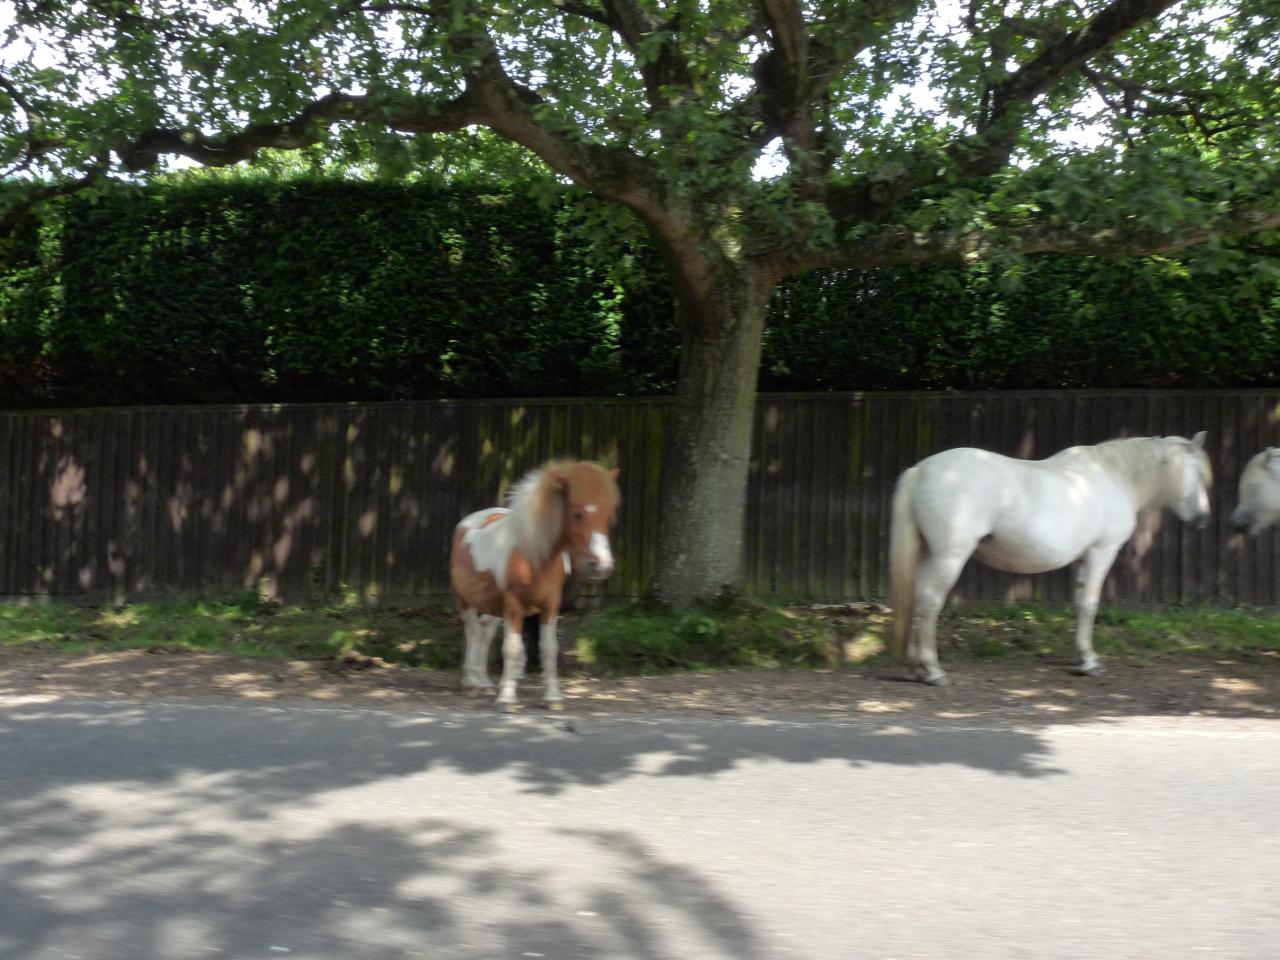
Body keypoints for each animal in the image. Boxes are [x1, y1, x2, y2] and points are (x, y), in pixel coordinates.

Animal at [450, 463, 619, 711]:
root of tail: (467, 522)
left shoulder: (550, 607)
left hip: (494, 608)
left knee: (485, 632)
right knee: (473, 631)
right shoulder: (514, 606)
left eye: (609, 515)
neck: (532, 557)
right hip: (466, 601)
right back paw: (471, 682)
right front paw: (507, 699)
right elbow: (512, 648)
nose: (602, 566)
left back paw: (483, 682)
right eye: (577, 513)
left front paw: (553, 697)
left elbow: (548, 649)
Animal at [890, 432, 1208, 686]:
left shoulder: (1083, 560)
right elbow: (1090, 606)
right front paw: (1090, 663)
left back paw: (913, 667)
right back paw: (933, 671)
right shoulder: (1101, 553)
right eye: (1197, 474)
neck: (1113, 477)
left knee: (918, 600)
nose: (1203, 519)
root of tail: (920, 471)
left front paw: (1081, 658)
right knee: (931, 603)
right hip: (949, 558)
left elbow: (1079, 605)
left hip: (930, 556)